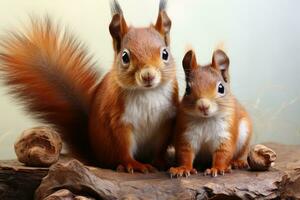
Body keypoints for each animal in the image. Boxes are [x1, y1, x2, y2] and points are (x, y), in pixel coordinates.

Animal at [0, 0, 178, 173]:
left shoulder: (165, 122)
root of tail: (94, 151)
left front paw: (160, 162)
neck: (147, 92)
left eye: (165, 54)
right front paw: (133, 164)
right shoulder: (118, 121)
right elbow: (123, 149)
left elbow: (160, 149)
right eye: (125, 57)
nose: (148, 75)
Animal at [170, 49, 252, 177]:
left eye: (221, 88)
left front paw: (217, 168)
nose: (203, 106)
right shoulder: (187, 134)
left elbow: (223, 153)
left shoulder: (225, 134)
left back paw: (236, 162)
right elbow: (185, 153)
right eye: (187, 89)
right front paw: (183, 168)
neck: (206, 119)